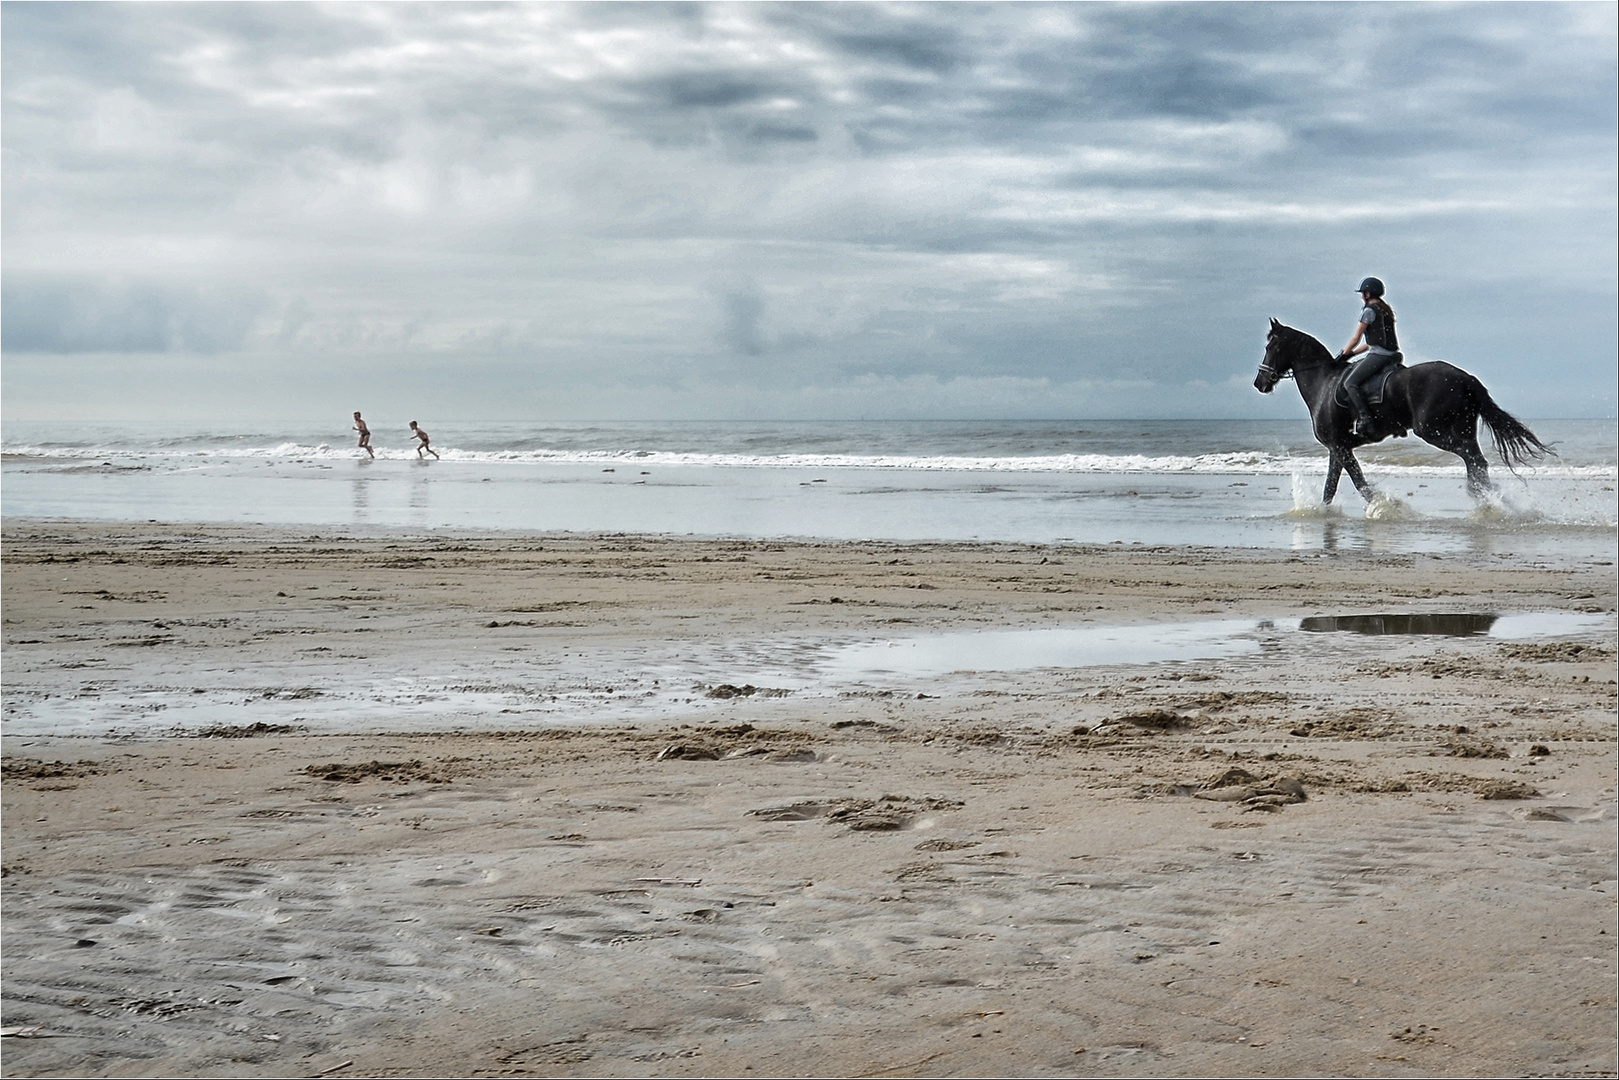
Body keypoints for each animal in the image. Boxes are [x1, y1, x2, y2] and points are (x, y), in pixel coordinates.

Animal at [1249, 318, 1554, 508]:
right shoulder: (1338, 447)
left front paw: (1384, 507)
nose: (1259, 383)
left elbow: (1358, 483)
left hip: (1433, 431)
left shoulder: (1339, 446)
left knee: (1474, 459)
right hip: (1461, 429)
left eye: (1269, 346)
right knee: (1476, 461)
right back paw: (1489, 499)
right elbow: (1331, 487)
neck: (1323, 382)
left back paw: (1487, 500)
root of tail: (1464, 377)